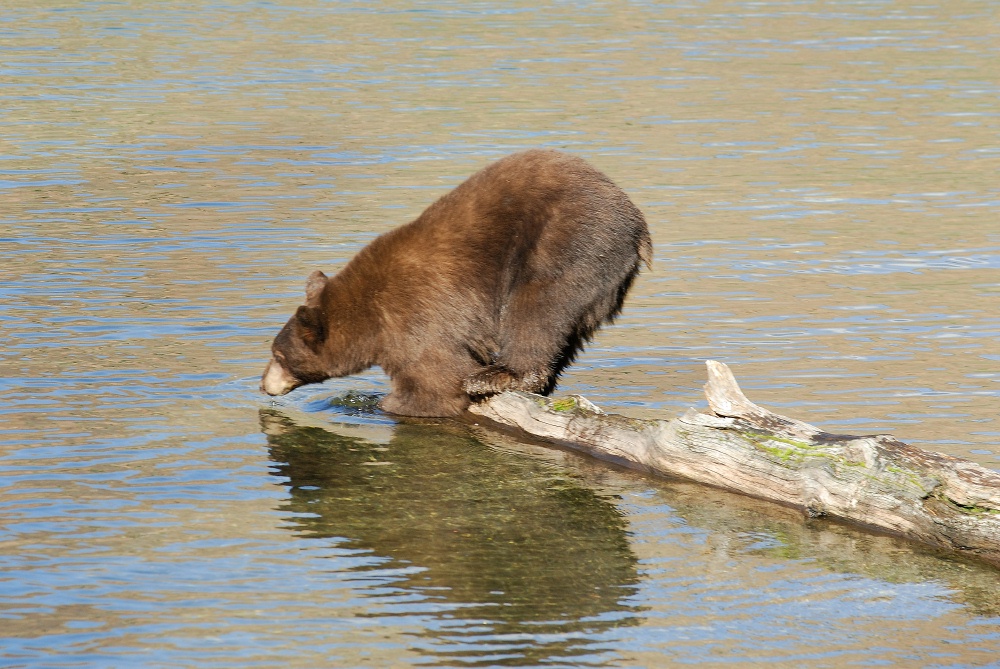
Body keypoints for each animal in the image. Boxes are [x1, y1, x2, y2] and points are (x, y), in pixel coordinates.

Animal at [260, 149, 648, 414]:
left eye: (277, 354)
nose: (264, 385)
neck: (367, 315)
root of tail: (635, 218)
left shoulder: (414, 318)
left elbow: (436, 380)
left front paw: (392, 403)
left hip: (566, 241)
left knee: (538, 309)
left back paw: (498, 374)